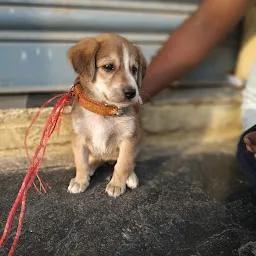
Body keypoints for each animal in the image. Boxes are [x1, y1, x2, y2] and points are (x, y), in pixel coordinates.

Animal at [66, 34, 147, 198]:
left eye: (134, 69)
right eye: (109, 67)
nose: (132, 93)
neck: (103, 110)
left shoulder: (129, 138)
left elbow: (123, 164)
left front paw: (116, 185)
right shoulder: (78, 138)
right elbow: (80, 162)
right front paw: (80, 180)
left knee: (129, 162)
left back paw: (131, 177)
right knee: (96, 158)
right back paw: (91, 168)